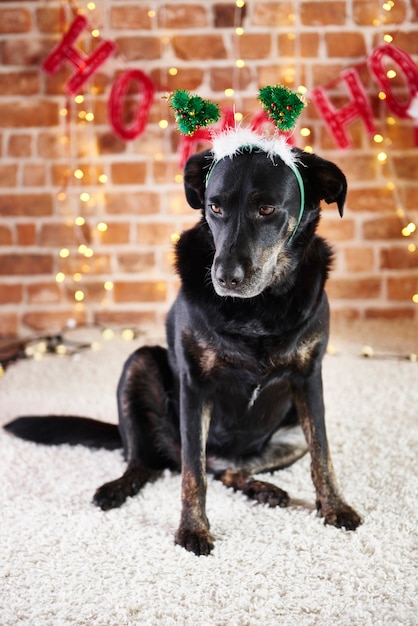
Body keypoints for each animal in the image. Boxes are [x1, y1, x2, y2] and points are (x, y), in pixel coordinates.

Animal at [4, 145, 360, 552]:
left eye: (267, 209)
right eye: (215, 206)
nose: (225, 278)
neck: (258, 309)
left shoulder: (309, 378)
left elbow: (322, 453)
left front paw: (334, 506)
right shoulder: (195, 384)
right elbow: (193, 471)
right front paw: (193, 529)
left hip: (288, 436)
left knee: (229, 472)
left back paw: (262, 489)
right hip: (139, 364)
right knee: (148, 463)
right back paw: (117, 487)